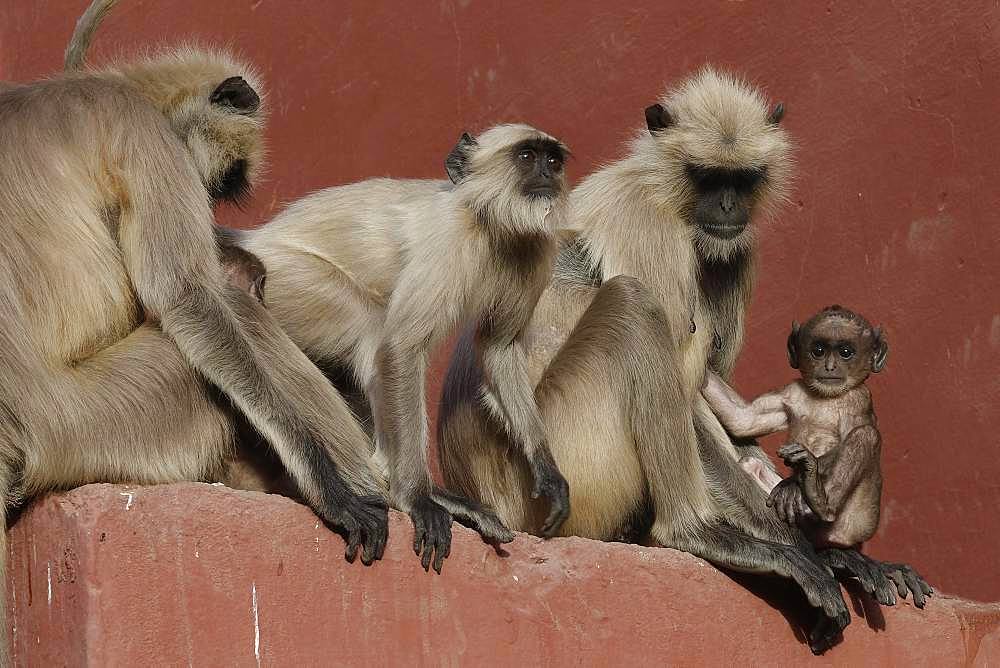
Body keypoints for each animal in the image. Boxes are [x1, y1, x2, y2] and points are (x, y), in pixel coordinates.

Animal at [708, 306, 888, 544]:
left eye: (845, 352)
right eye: (818, 350)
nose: (830, 367)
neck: (826, 397)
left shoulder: (858, 399)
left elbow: (857, 431)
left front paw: (793, 482)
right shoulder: (792, 391)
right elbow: (743, 419)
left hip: (857, 522)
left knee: (866, 435)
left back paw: (820, 501)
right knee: (750, 463)